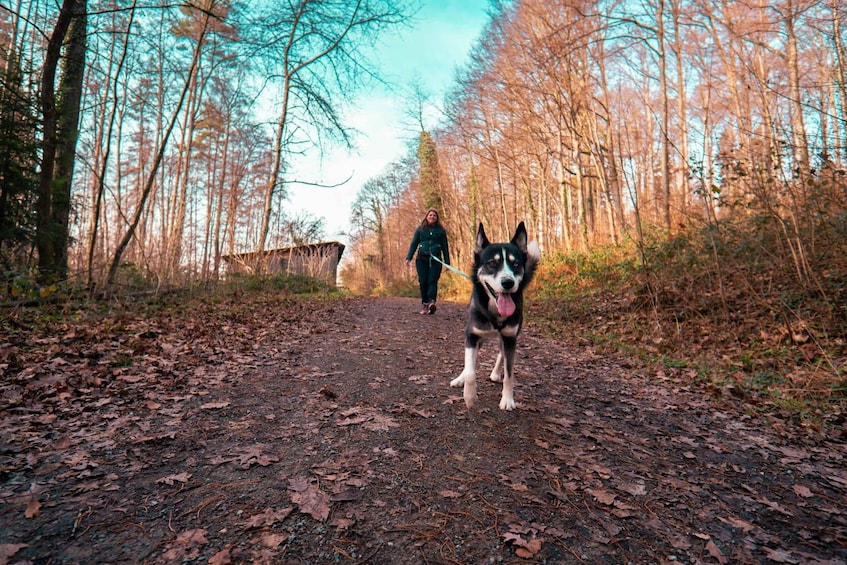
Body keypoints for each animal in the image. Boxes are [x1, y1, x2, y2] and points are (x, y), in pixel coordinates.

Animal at [450, 221, 544, 410]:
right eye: (492, 263)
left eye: (516, 264)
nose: (508, 283)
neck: (494, 311)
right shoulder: (472, 334)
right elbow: (470, 369)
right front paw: (469, 396)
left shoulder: (510, 338)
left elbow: (509, 374)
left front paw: (507, 399)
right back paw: (460, 378)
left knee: (501, 354)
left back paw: (495, 373)